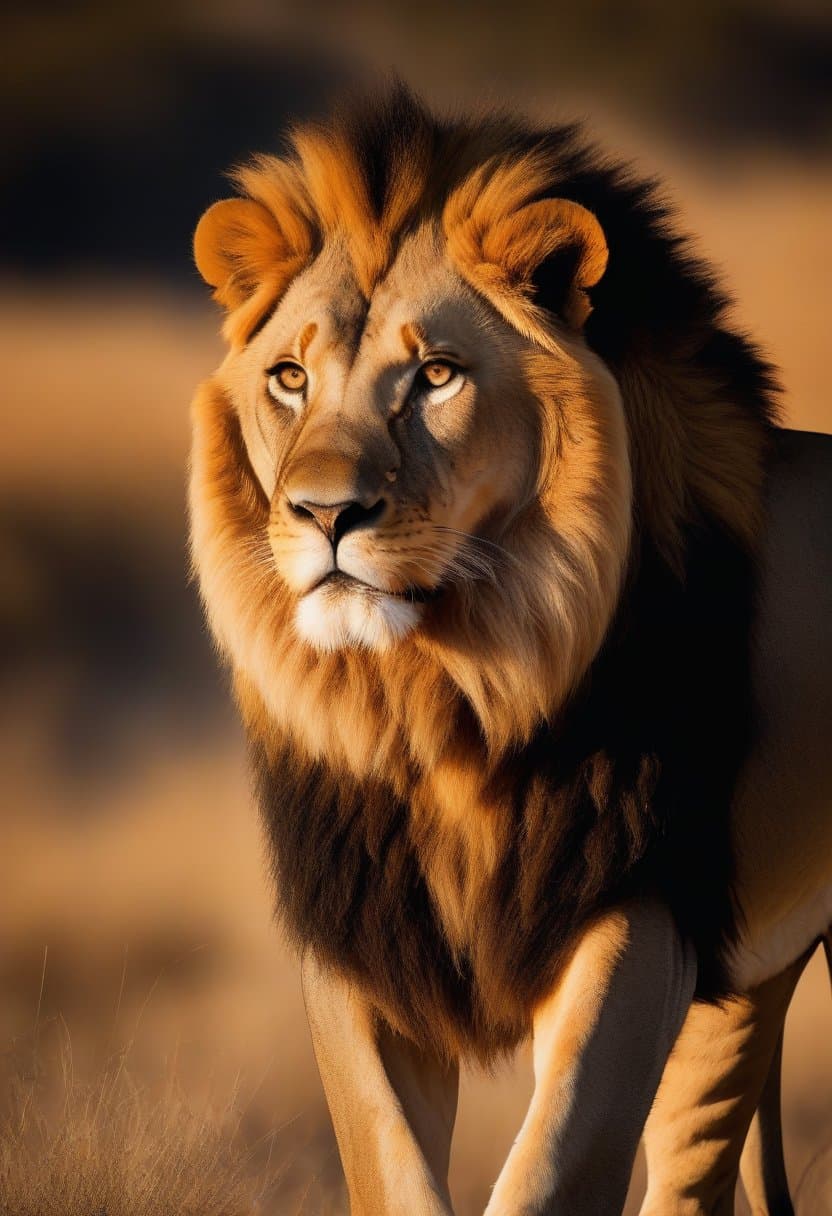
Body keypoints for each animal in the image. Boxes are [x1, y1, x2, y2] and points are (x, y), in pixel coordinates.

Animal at [189, 84, 832, 1215]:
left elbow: (553, 1162)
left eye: (436, 376)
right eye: (289, 377)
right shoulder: (359, 937)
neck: (438, 699)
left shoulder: (638, 914)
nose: (324, 513)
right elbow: (390, 1165)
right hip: (748, 989)